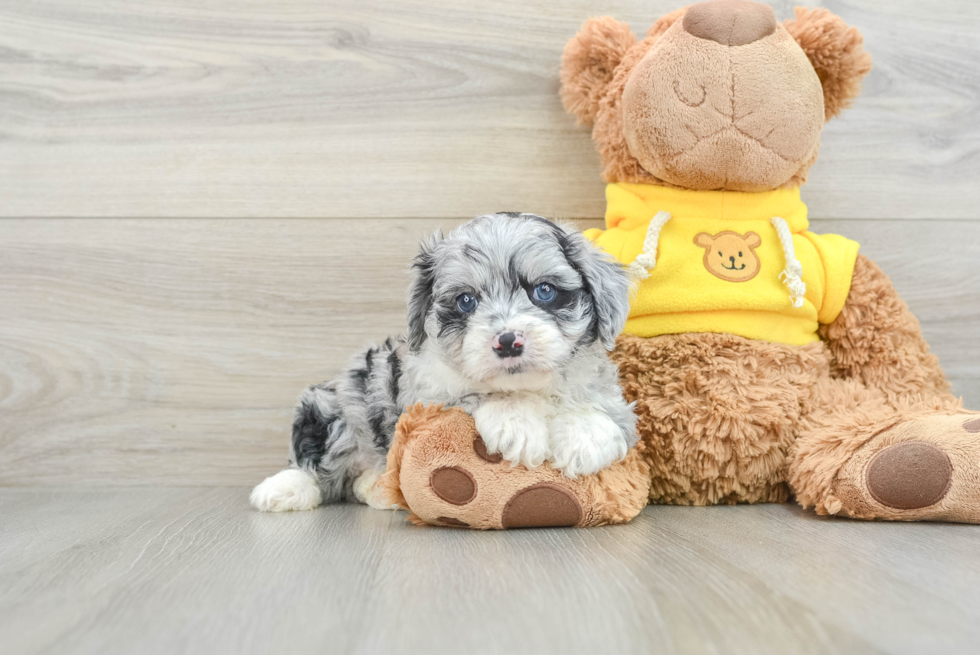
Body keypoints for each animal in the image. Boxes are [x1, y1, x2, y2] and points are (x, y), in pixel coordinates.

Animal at [253, 213, 636, 510]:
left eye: (544, 290)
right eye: (466, 300)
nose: (508, 342)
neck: (526, 387)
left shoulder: (615, 401)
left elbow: (599, 410)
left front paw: (583, 439)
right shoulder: (423, 398)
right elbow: (474, 395)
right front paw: (517, 424)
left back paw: (376, 487)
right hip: (335, 404)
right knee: (314, 461)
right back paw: (282, 489)